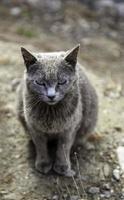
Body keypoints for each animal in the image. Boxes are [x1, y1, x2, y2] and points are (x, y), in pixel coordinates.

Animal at [16, 45, 98, 177]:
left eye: (61, 82)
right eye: (40, 82)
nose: (51, 96)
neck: (51, 112)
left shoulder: (70, 128)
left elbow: (63, 148)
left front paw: (62, 167)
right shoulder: (34, 128)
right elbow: (40, 146)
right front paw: (43, 164)